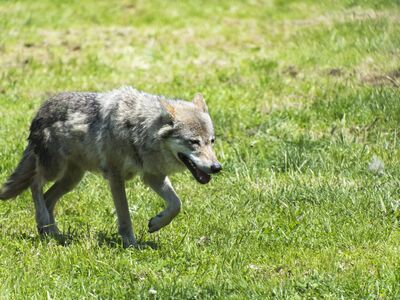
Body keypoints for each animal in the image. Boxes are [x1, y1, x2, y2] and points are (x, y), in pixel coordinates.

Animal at [0, 86, 222, 246]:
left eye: (211, 141)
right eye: (194, 142)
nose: (217, 167)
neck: (138, 129)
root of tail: (40, 111)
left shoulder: (153, 176)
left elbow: (176, 204)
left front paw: (156, 223)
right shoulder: (116, 177)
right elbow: (124, 216)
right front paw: (131, 245)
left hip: (72, 179)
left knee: (47, 197)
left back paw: (52, 232)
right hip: (55, 170)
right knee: (35, 184)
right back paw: (43, 222)